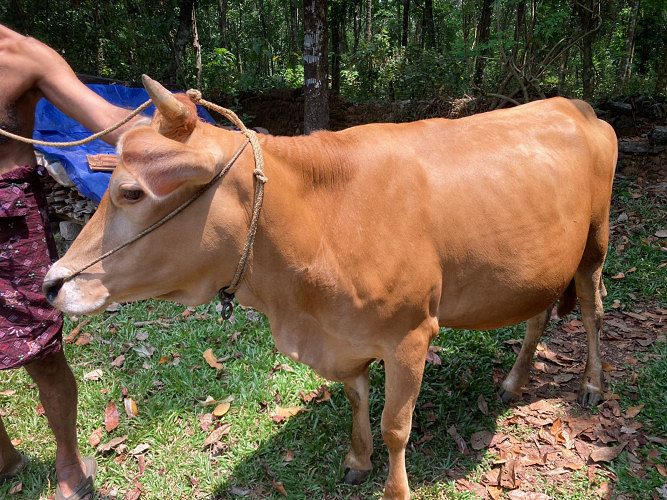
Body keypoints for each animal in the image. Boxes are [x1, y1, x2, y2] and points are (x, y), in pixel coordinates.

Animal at [43, 76, 617, 499]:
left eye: (131, 192)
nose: (52, 283)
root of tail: (577, 106)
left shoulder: (411, 334)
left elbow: (395, 425)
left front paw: (394, 489)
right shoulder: (344, 338)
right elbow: (357, 399)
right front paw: (357, 459)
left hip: (594, 242)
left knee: (592, 309)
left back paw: (592, 384)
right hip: (543, 264)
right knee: (539, 315)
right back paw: (515, 382)